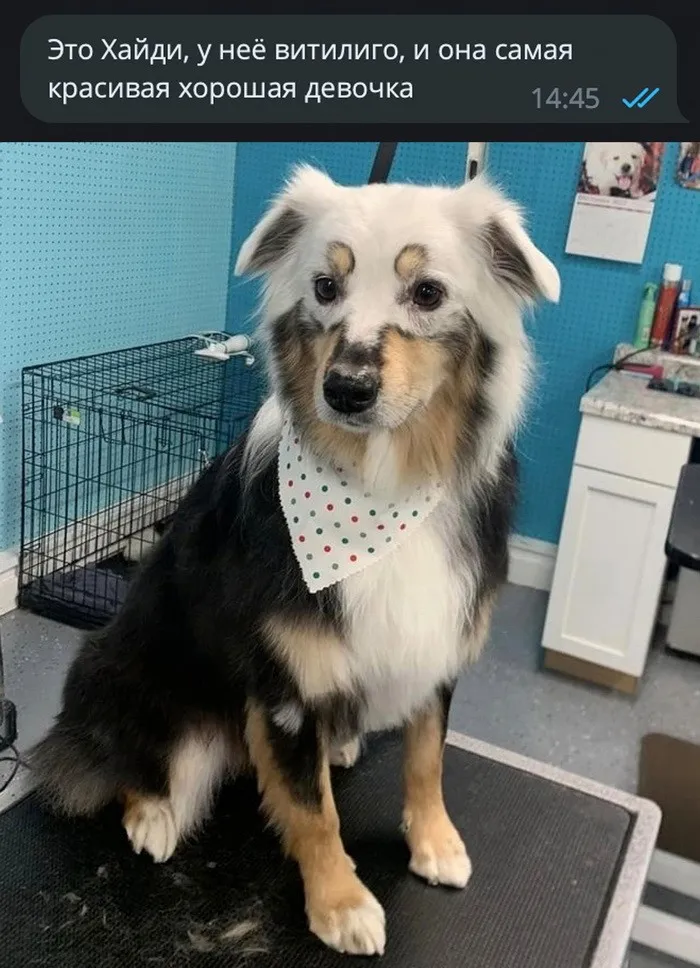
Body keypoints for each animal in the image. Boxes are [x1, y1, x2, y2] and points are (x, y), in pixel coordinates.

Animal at [31, 166, 560, 957]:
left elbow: (427, 756)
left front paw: (434, 842)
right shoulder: (283, 685)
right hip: (140, 684)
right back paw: (152, 815)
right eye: (325, 287)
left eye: (427, 292)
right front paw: (339, 903)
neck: (381, 486)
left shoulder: (438, 642)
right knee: (128, 765)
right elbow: (314, 813)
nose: (345, 390)